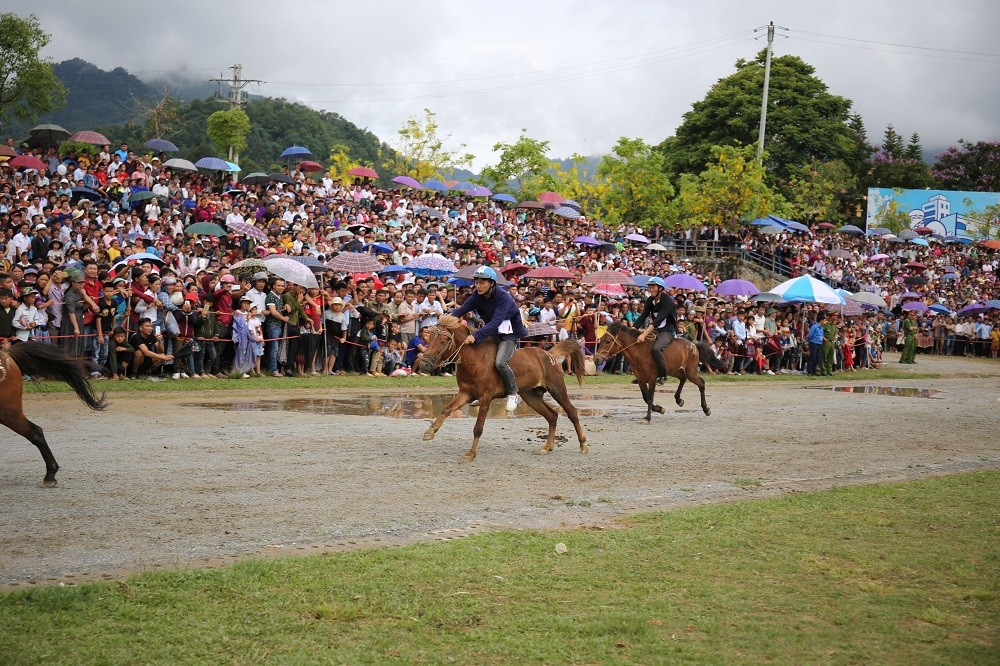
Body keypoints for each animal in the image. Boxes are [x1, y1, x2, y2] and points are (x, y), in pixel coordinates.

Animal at [420, 314, 588, 460]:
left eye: (443, 341)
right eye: (429, 338)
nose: (424, 364)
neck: (475, 360)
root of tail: (549, 355)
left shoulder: (485, 397)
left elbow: (478, 427)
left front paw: (471, 453)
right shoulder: (466, 393)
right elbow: (446, 409)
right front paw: (430, 432)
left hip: (557, 388)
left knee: (571, 412)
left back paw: (583, 444)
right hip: (531, 396)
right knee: (552, 416)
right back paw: (547, 447)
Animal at [592, 322, 728, 426]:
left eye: (608, 341)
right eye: (601, 340)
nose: (596, 359)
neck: (640, 351)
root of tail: (693, 344)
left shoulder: (652, 379)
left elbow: (650, 398)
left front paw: (647, 418)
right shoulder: (641, 380)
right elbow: (645, 398)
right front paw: (659, 409)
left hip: (691, 372)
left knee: (701, 383)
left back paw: (706, 409)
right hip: (675, 370)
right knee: (683, 378)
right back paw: (679, 400)